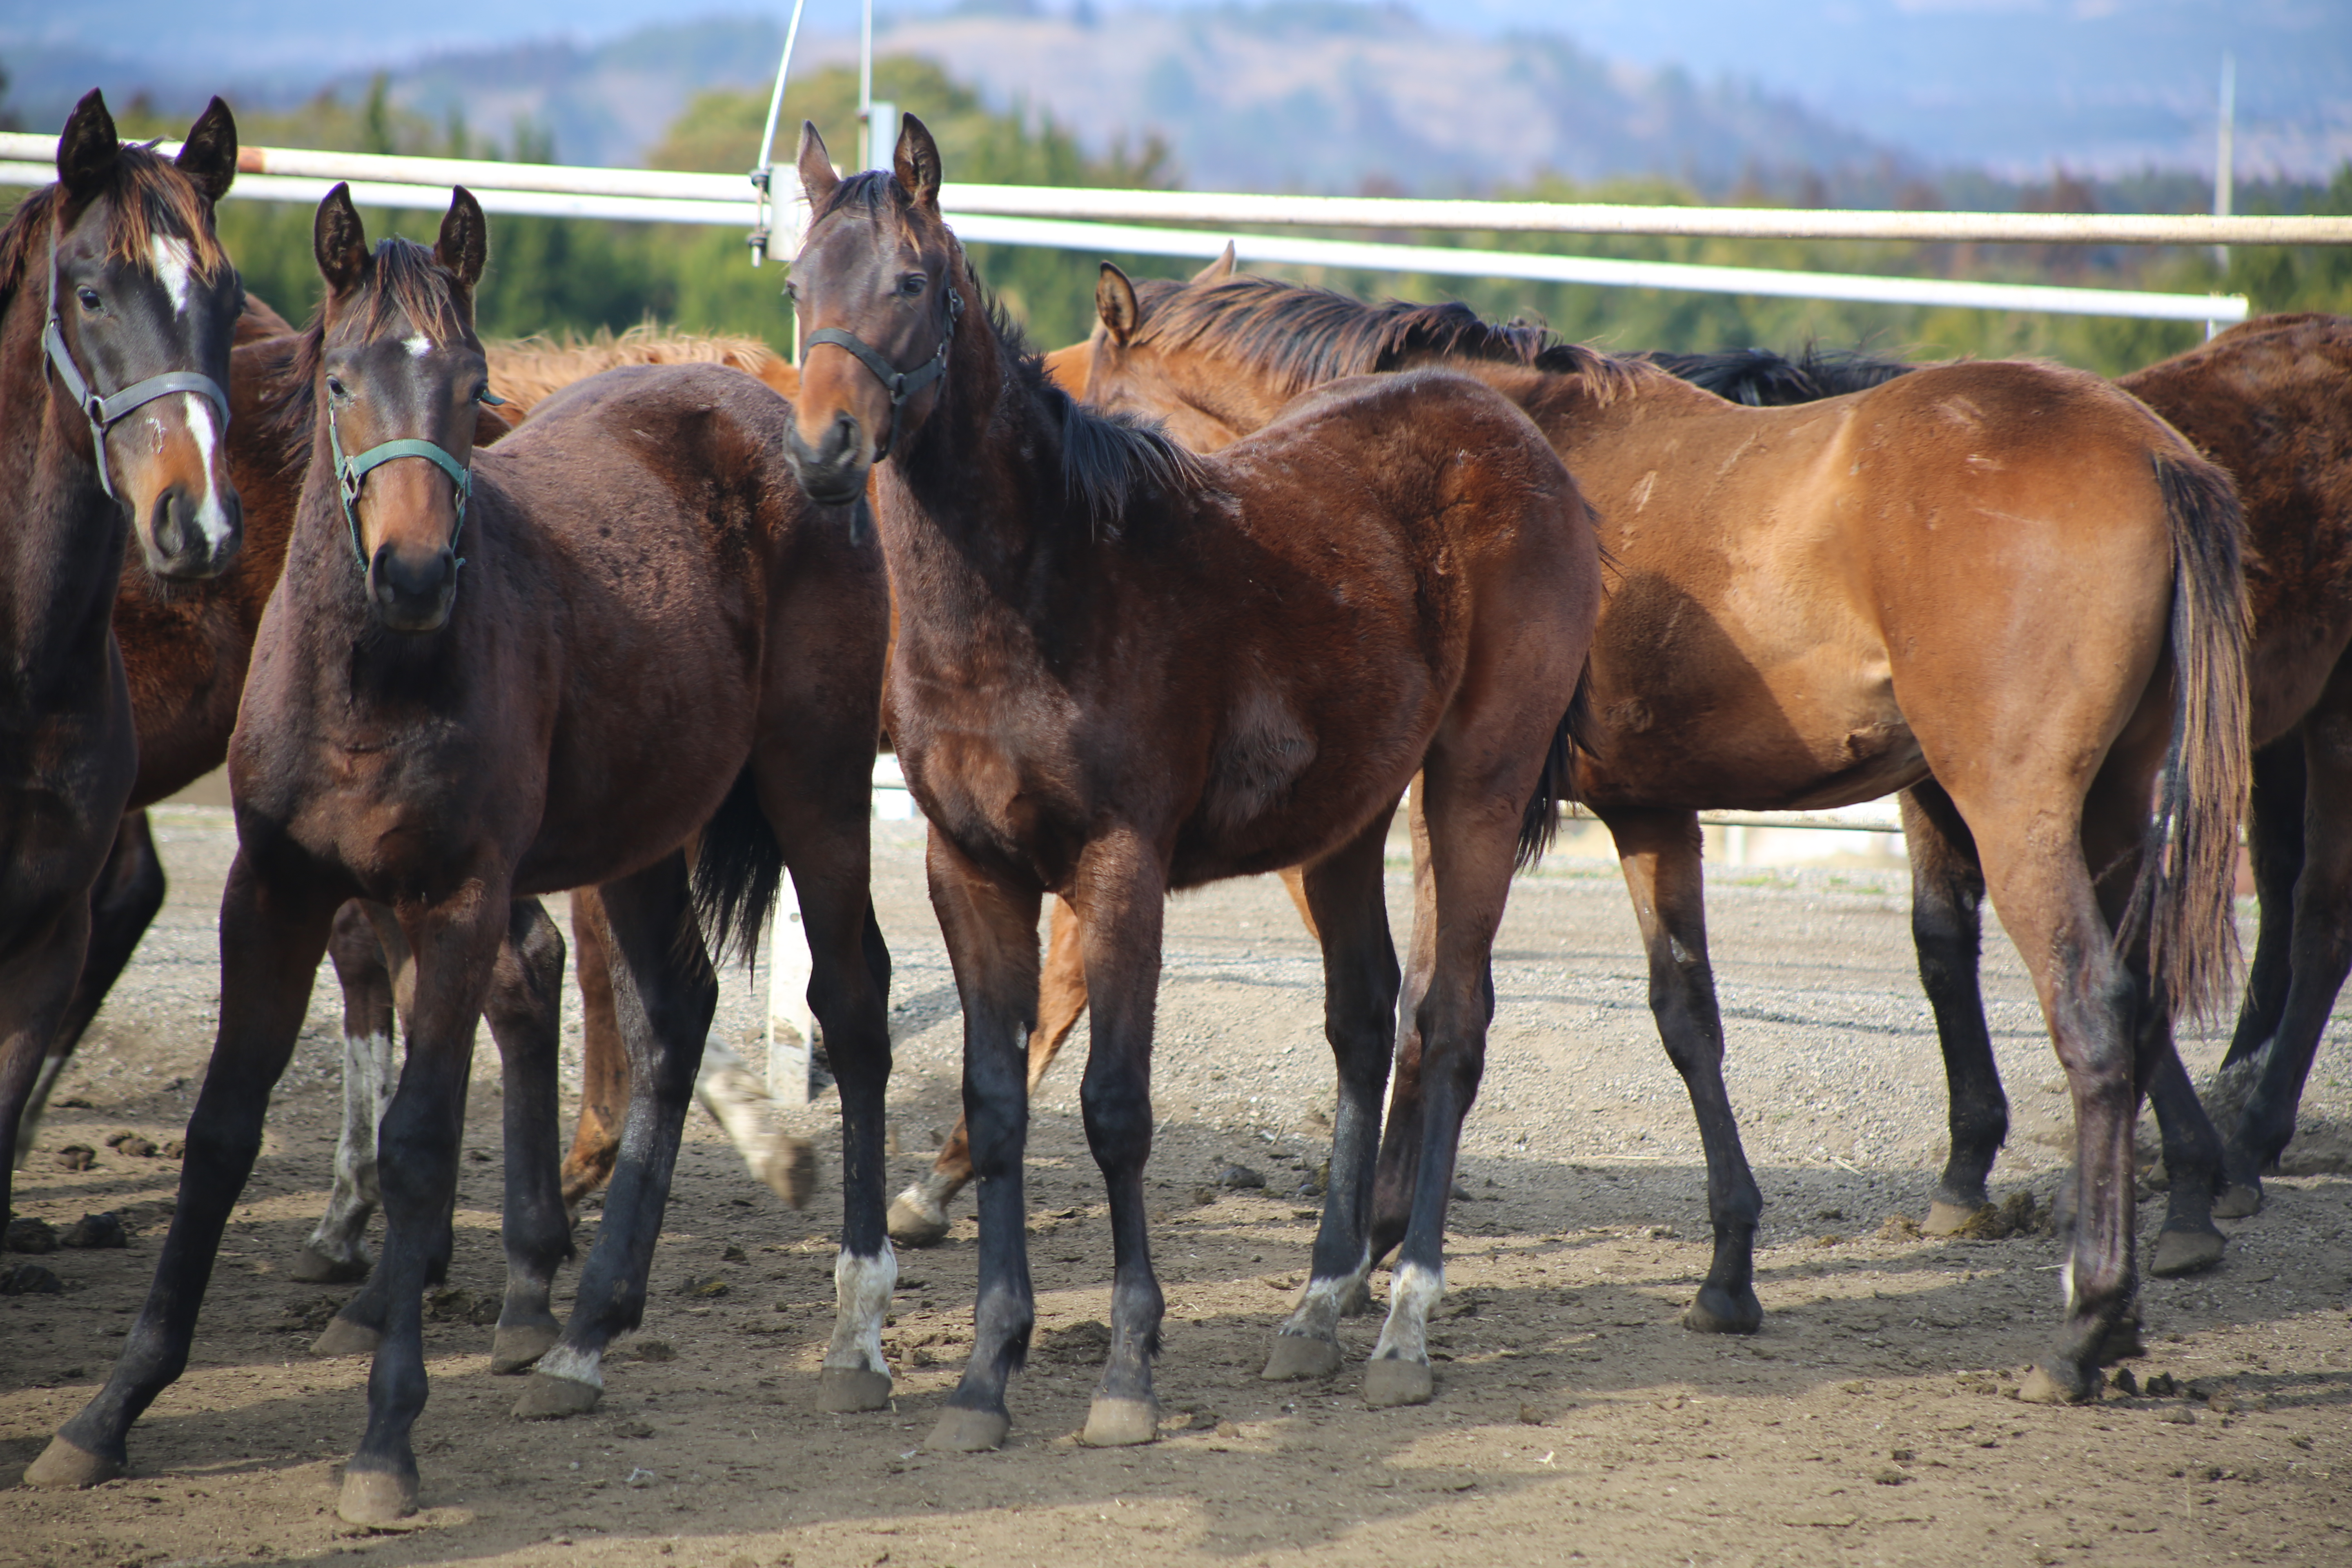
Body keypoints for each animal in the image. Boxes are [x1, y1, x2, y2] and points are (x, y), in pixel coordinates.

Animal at [23, 181, 893, 1523]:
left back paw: (854, 1332)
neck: (372, 678)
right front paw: (109, 1411)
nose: (418, 571)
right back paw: (588, 1333)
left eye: (472, 381)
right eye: (340, 380)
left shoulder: (460, 898)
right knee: (673, 1014)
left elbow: (425, 1135)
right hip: (643, 836)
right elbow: (221, 1129)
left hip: (820, 791)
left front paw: (387, 1437)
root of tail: (780, 416)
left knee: (849, 1005)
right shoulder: (272, 890)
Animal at [1063, 263, 2239, 1401]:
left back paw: (2087, 1321)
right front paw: (1728, 1273)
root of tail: (2149, 450)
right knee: (2142, 1001)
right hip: (2111, 804)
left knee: (2093, 1013)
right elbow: (1688, 1021)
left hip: (2015, 807)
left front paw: (1373, 1257)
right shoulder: (1649, 808)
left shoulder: (1471, 795)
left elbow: (1427, 1010)